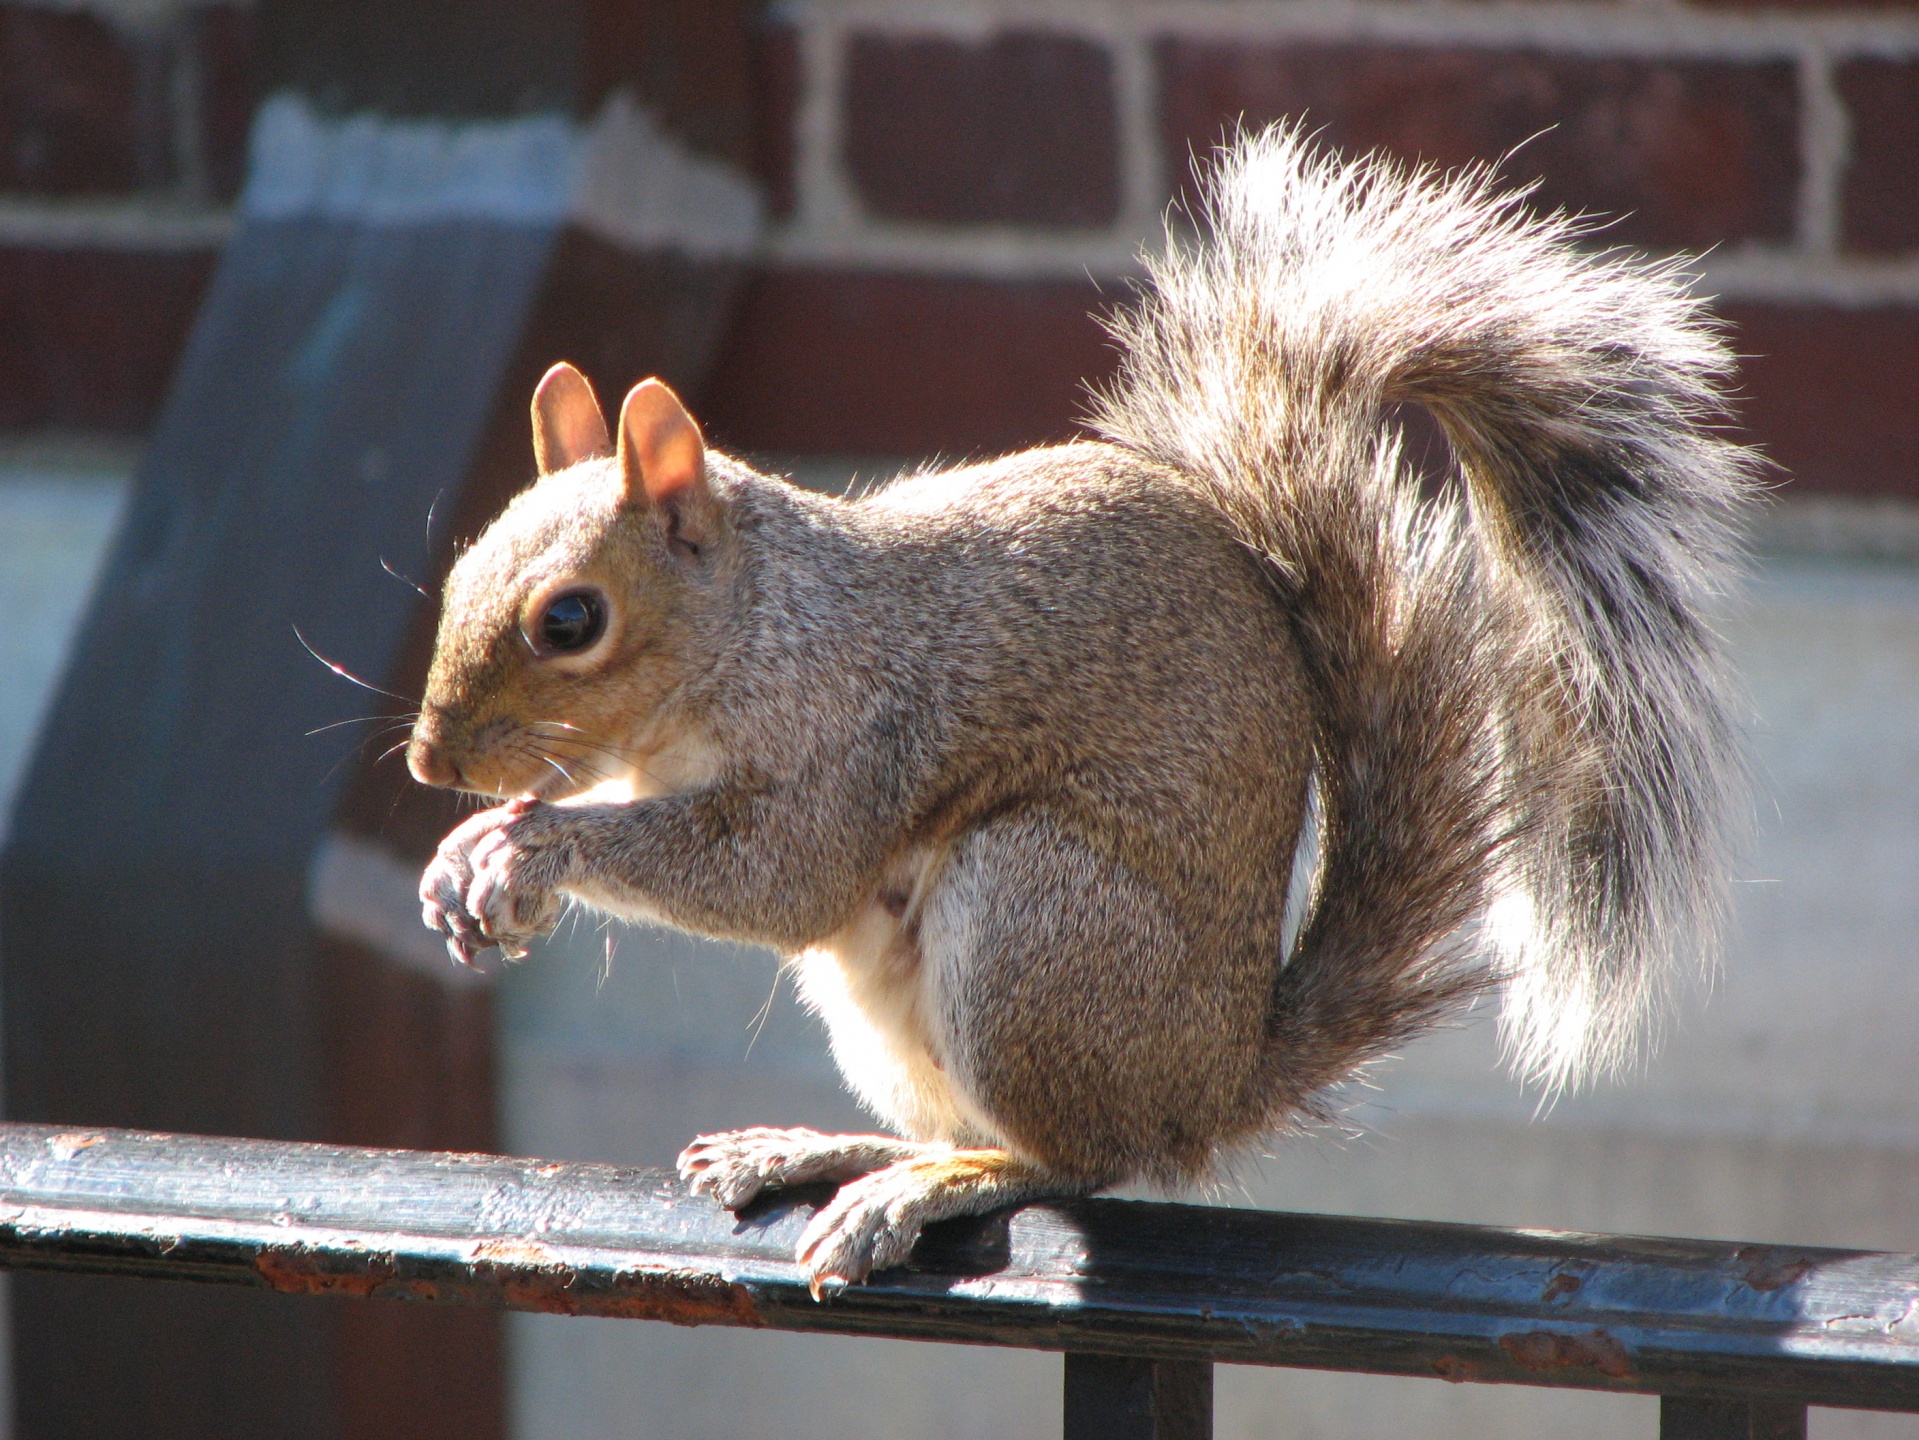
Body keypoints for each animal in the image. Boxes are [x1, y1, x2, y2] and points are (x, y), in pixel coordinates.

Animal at [404, 126, 1757, 1297]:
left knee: (1075, 1156)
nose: (428, 764)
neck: (758, 625)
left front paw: (526, 848)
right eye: (461, 565)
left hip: (1034, 921)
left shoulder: (854, 729)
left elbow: (776, 879)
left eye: (570, 621)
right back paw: (831, 1151)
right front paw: (468, 858)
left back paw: (925, 1186)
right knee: (974, 1127)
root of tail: (1212, 1083)